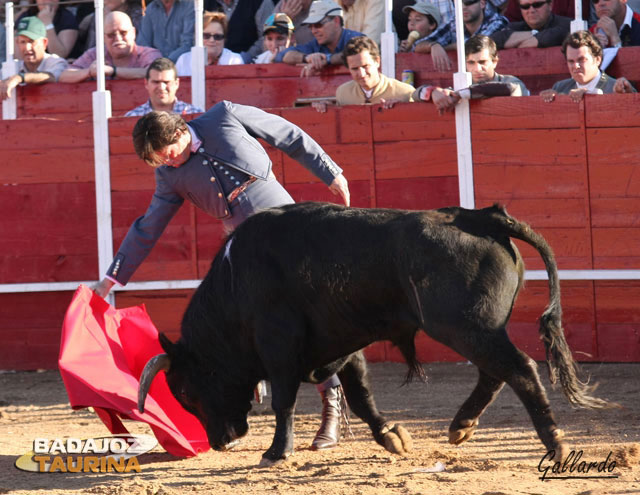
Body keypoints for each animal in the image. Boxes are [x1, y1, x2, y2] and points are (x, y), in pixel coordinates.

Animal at [139, 202, 608, 464]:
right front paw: (392, 438)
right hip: (477, 328)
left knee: (520, 369)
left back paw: (555, 445)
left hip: (466, 326)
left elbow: (284, 401)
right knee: (496, 372)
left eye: (187, 392)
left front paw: (274, 453)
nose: (220, 442)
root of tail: (482, 217)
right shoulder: (342, 343)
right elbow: (360, 395)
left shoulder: (280, 346)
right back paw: (461, 426)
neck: (235, 280)